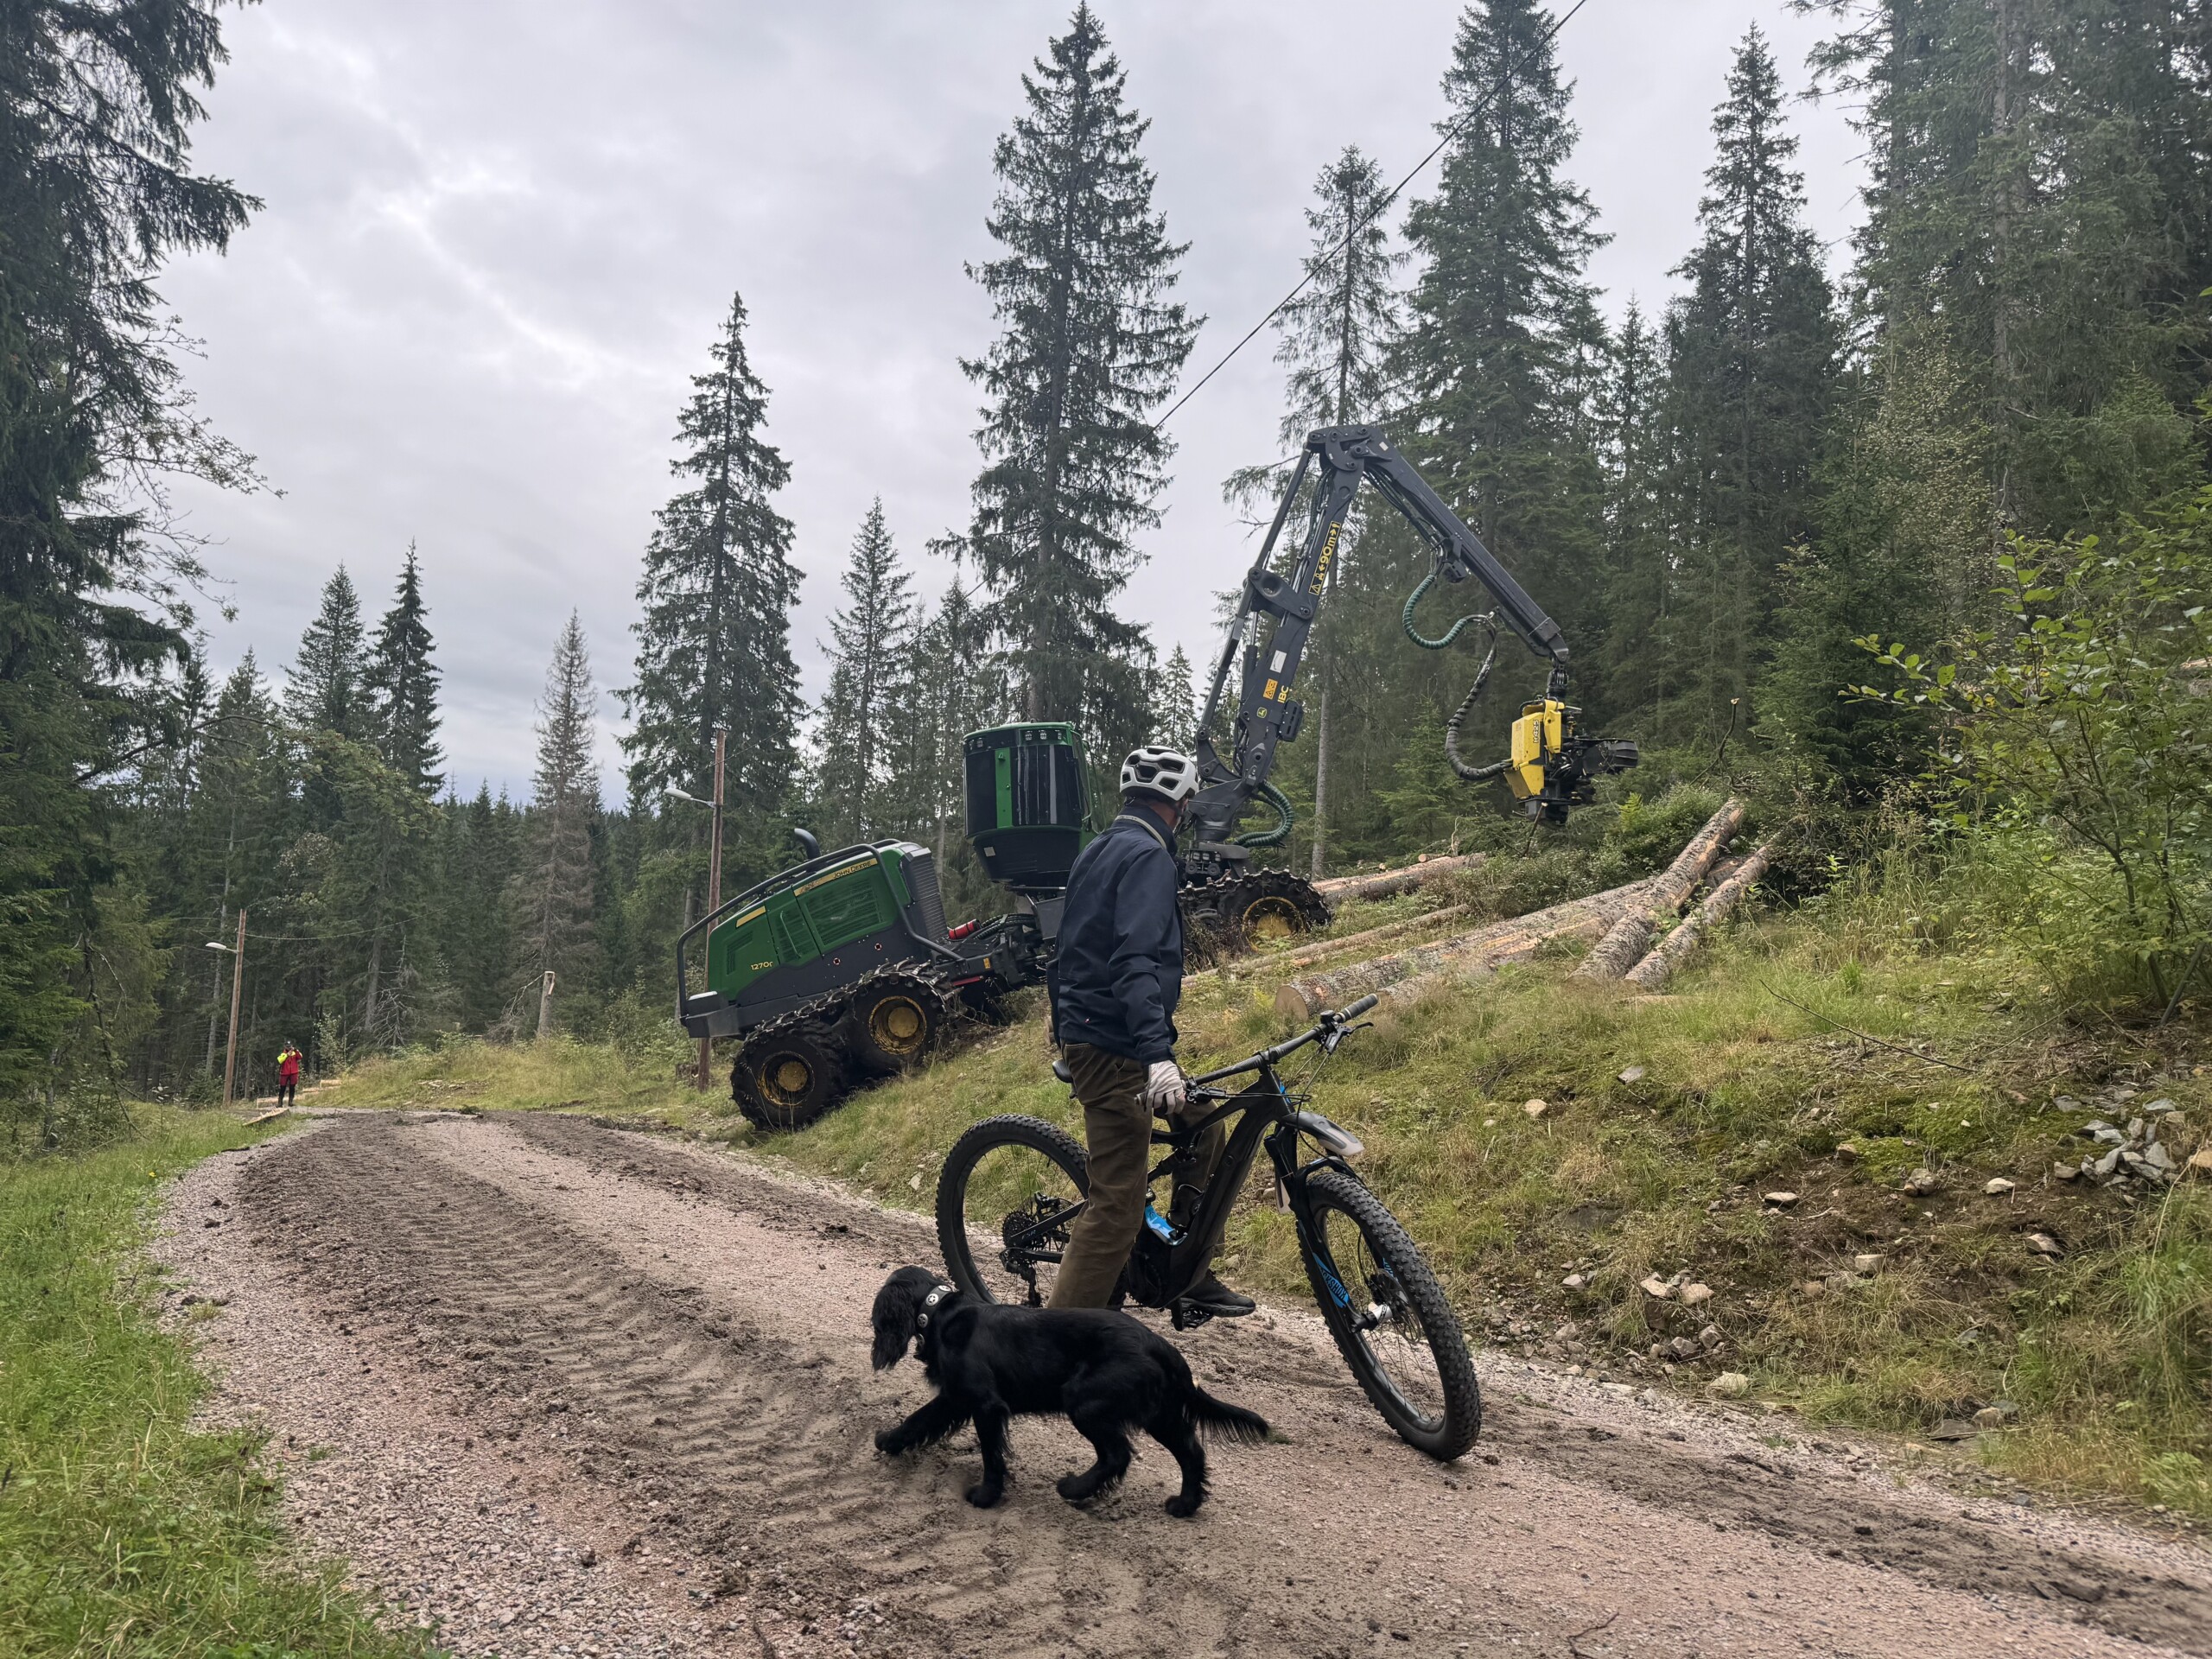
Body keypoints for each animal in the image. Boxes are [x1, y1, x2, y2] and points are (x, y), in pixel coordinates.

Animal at [868, 1265, 1268, 1515]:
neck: (938, 1312)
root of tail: (1160, 1345)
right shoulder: (955, 1397)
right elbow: (918, 1420)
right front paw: (889, 1440)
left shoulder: (985, 1404)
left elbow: (991, 1455)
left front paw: (985, 1496)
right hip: (1158, 1412)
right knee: (1190, 1452)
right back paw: (1185, 1505)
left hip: (1085, 1400)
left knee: (1117, 1455)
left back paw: (1074, 1489)